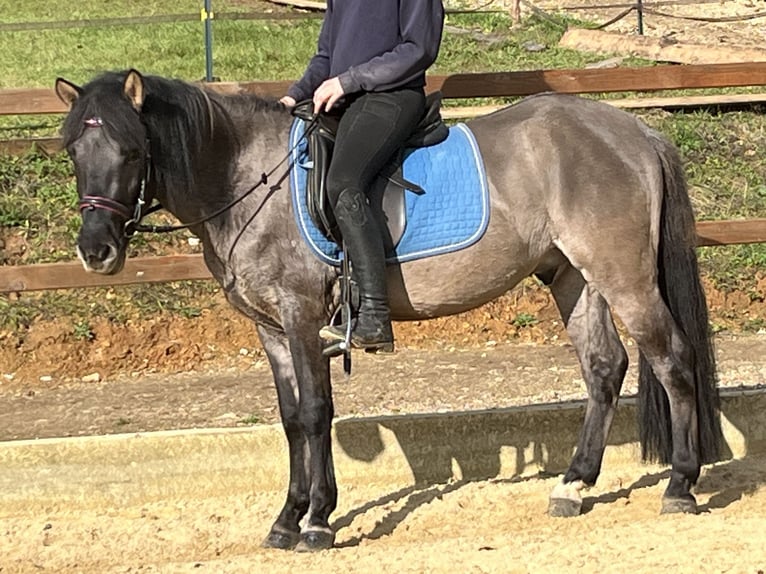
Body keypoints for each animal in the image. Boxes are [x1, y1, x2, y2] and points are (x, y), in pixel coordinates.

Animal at [57, 70, 724, 556]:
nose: (96, 252)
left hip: (622, 275)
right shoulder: (271, 329)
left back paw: (681, 484)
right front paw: (286, 519)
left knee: (671, 359)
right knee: (605, 369)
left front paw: (317, 522)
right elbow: (292, 420)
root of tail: (634, 129)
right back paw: (573, 484)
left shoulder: (302, 317)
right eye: (74, 152)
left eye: (131, 150)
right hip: (572, 276)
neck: (248, 179)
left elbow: (316, 413)